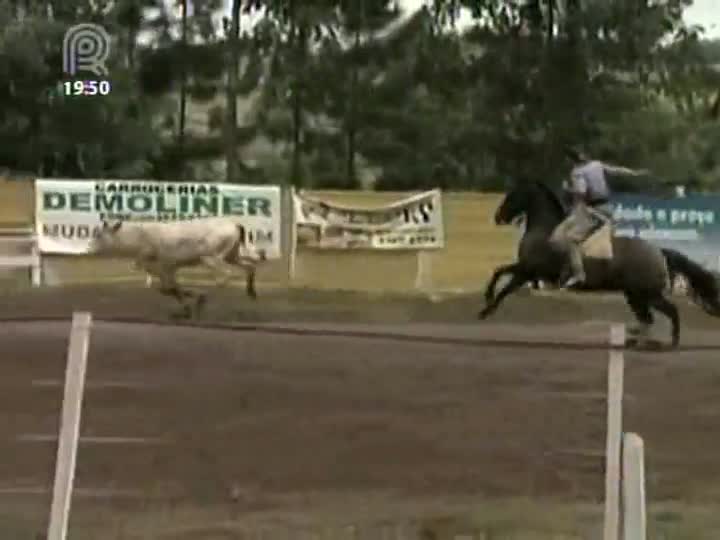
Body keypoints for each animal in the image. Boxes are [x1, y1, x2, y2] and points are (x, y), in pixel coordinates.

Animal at [90, 216, 268, 316]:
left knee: (225, 276)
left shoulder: (163, 266)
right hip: (232, 254)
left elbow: (169, 288)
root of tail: (235, 225)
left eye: (99, 234)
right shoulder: (166, 268)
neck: (139, 238)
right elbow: (169, 288)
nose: (89, 247)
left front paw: (190, 302)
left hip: (211, 257)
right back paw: (251, 292)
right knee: (250, 266)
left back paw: (202, 300)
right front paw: (185, 307)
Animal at [478, 181, 720, 348]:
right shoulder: (525, 269)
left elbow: (504, 285)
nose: (498, 217)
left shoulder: (528, 271)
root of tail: (658, 251)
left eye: (513, 195)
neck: (545, 231)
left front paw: (486, 310)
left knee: (671, 311)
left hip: (648, 295)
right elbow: (499, 272)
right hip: (635, 296)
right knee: (647, 319)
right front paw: (487, 302)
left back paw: (671, 342)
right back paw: (637, 340)